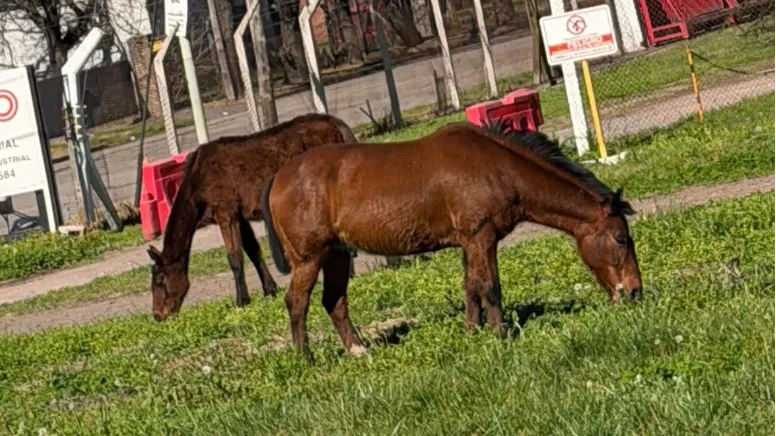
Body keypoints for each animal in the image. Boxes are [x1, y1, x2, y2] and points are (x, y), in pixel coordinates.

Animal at [147, 113, 364, 322]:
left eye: (159, 281)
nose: (158, 315)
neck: (196, 187)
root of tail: (335, 123)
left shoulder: (225, 210)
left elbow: (235, 257)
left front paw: (242, 300)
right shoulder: (240, 216)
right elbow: (253, 250)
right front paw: (269, 289)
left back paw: (350, 274)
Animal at [260, 120, 643, 358]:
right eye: (621, 239)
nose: (635, 292)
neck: (498, 168)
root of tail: (278, 178)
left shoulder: (469, 243)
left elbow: (470, 287)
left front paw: (472, 331)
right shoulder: (481, 237)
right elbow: (489, 286)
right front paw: (500, 334)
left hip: (338, 254)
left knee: (335, 302)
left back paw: (358, 350)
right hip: (310, 258)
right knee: (297, 302)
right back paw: (305, 357)